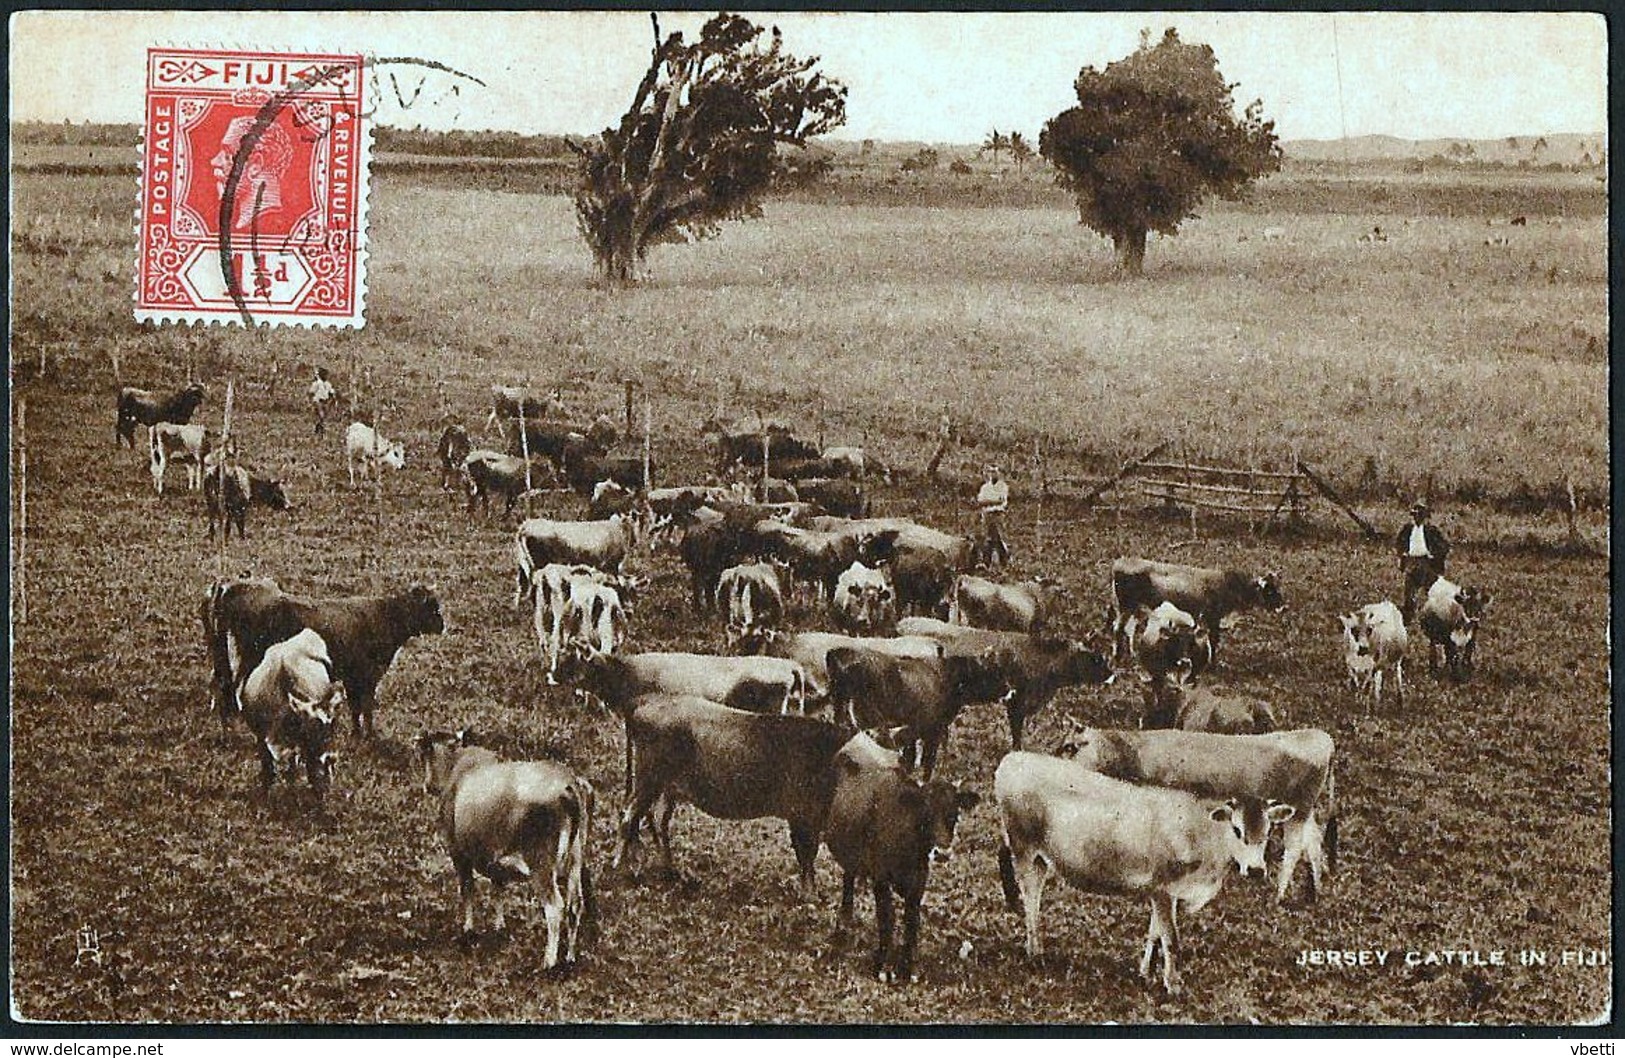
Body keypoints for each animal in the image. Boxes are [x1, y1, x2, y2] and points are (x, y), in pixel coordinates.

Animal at [419, 728, 598, 968]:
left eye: (425, 755)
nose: (428, 785)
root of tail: (569, 782)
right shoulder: (495, 858)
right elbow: (498, 889)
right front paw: (499, 926)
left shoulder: (459, 852)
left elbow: (468, 889)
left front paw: (468, 930)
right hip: (575, 860)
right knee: (575, 904)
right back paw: (570, 958)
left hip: (541, 863)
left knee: (555, 907)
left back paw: (549, 962)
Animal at [825, 737, 975, 988]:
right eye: (925, 813)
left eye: (954, 814)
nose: (942, 852)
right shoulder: (881, 879)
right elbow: (887, 919)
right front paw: (884, 967)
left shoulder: (919, 880)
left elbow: (911, 920)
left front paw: (909, 968)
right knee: (848, 879)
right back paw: (844, 921)